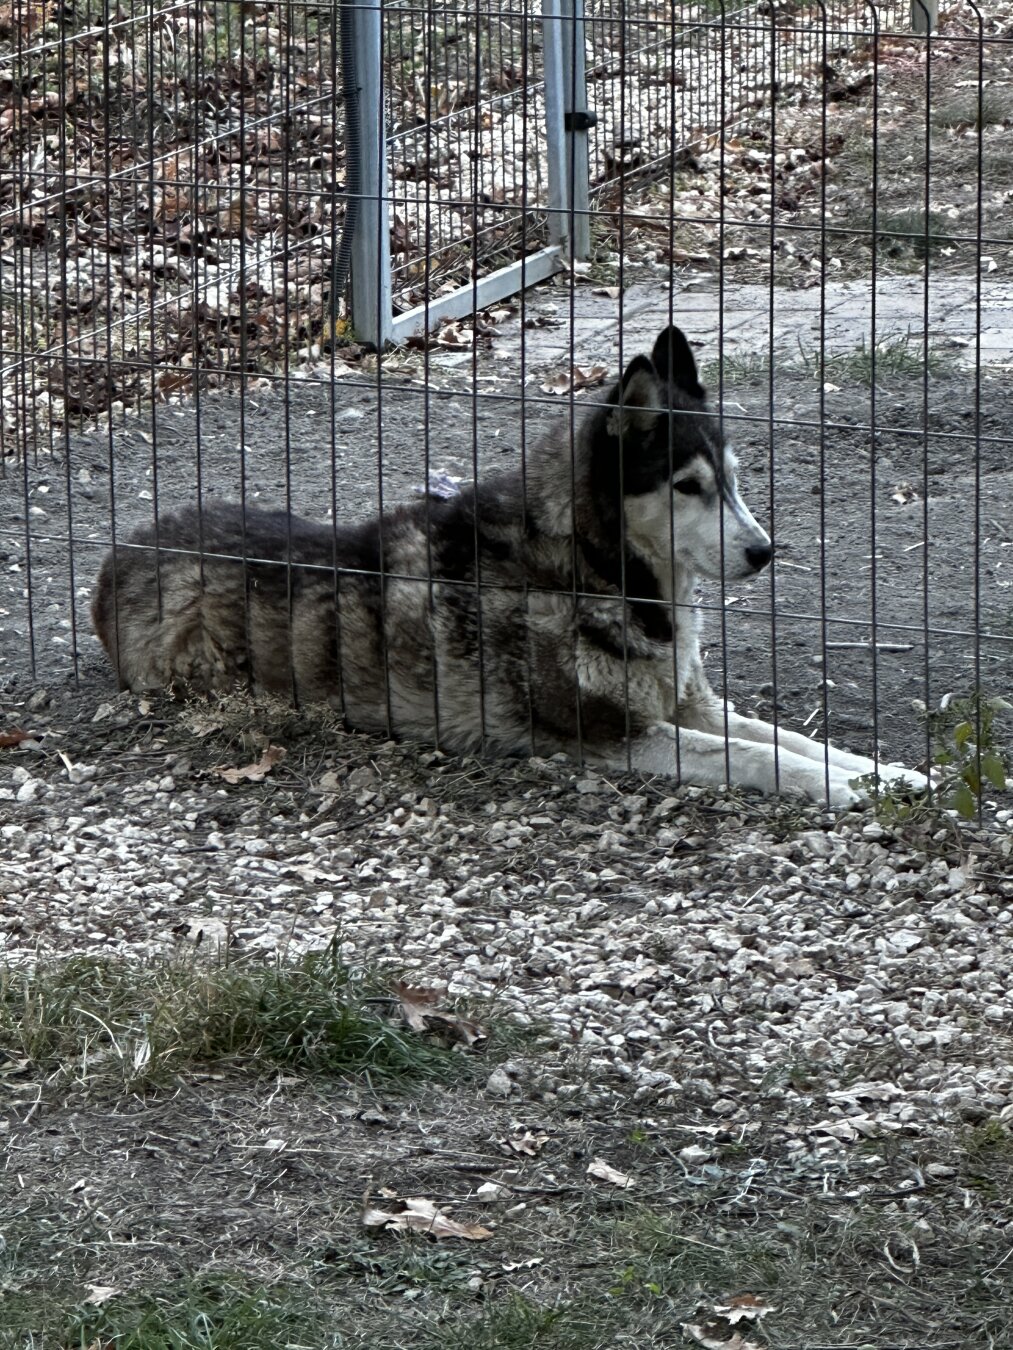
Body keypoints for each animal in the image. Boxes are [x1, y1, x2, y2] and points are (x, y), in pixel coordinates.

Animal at [92, 324, 926, 807]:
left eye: (733, 477)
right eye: (687, 487)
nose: (763, 550)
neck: (594, 571)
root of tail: (115, 559)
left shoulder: (690, 704)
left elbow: (791, 740)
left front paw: (893, 774)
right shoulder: (613, 736)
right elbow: (756, 759)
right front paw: (840, 788)